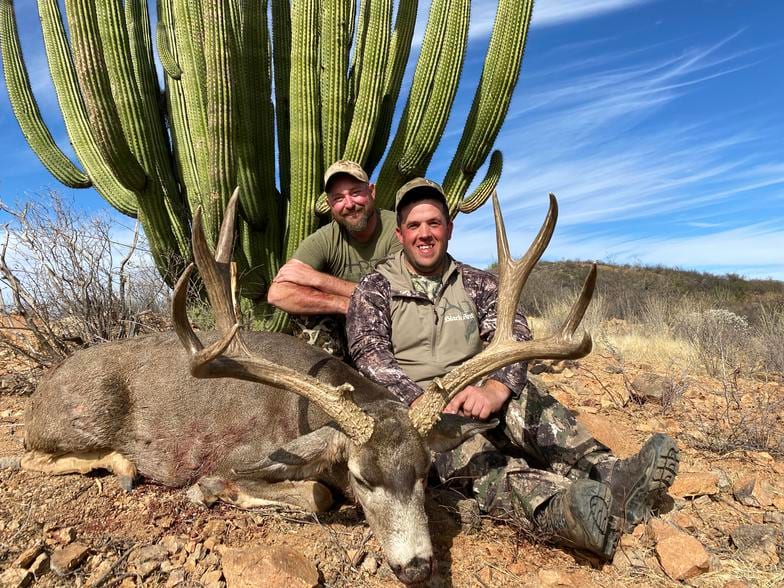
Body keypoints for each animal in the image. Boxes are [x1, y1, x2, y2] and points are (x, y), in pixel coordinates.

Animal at [19, 190, 596, 585]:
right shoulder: (234, 458)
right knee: (29, 456)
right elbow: (312, 493)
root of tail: (40, 392)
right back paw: (122, 466)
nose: (415, 567)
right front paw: (221, 493)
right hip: (80, 419)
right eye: (362, 478)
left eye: (423, 472)